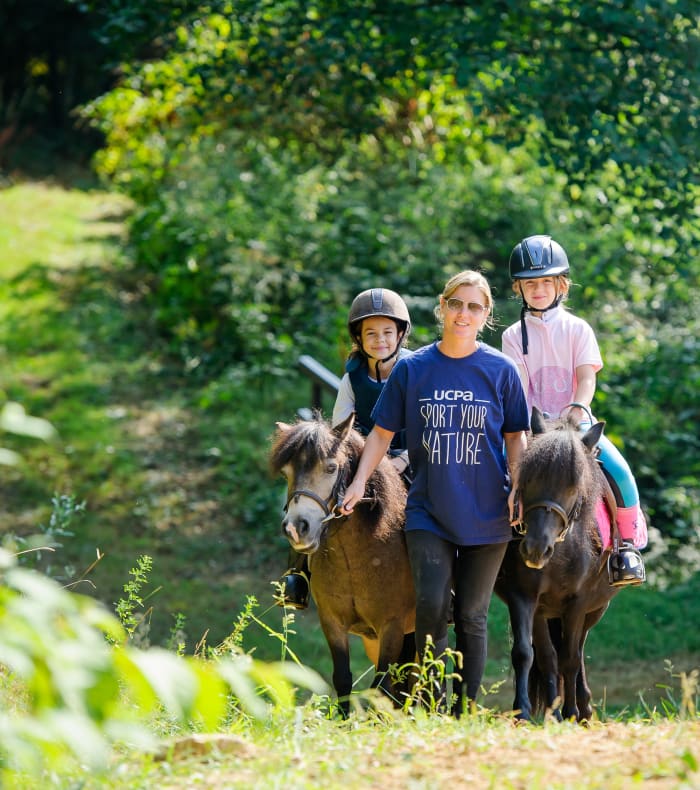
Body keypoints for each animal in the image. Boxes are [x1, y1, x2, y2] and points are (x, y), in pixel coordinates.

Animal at [270, 414, 416, 716]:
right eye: (286, 474)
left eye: (331, 468)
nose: (296, 529)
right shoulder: (332, 623)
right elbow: (343, 678)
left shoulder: (392, 626)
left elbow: (380, 685)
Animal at [494, 408, 620, 724]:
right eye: (526, 479)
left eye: (573, 486)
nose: (535, 549)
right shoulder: (527, 598)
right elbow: (533, 654)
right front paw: (533, 713)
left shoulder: (578, 601)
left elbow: (570, 658)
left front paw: (571, 712)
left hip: (596, 608)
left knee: (578, 649)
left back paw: (584, 708)